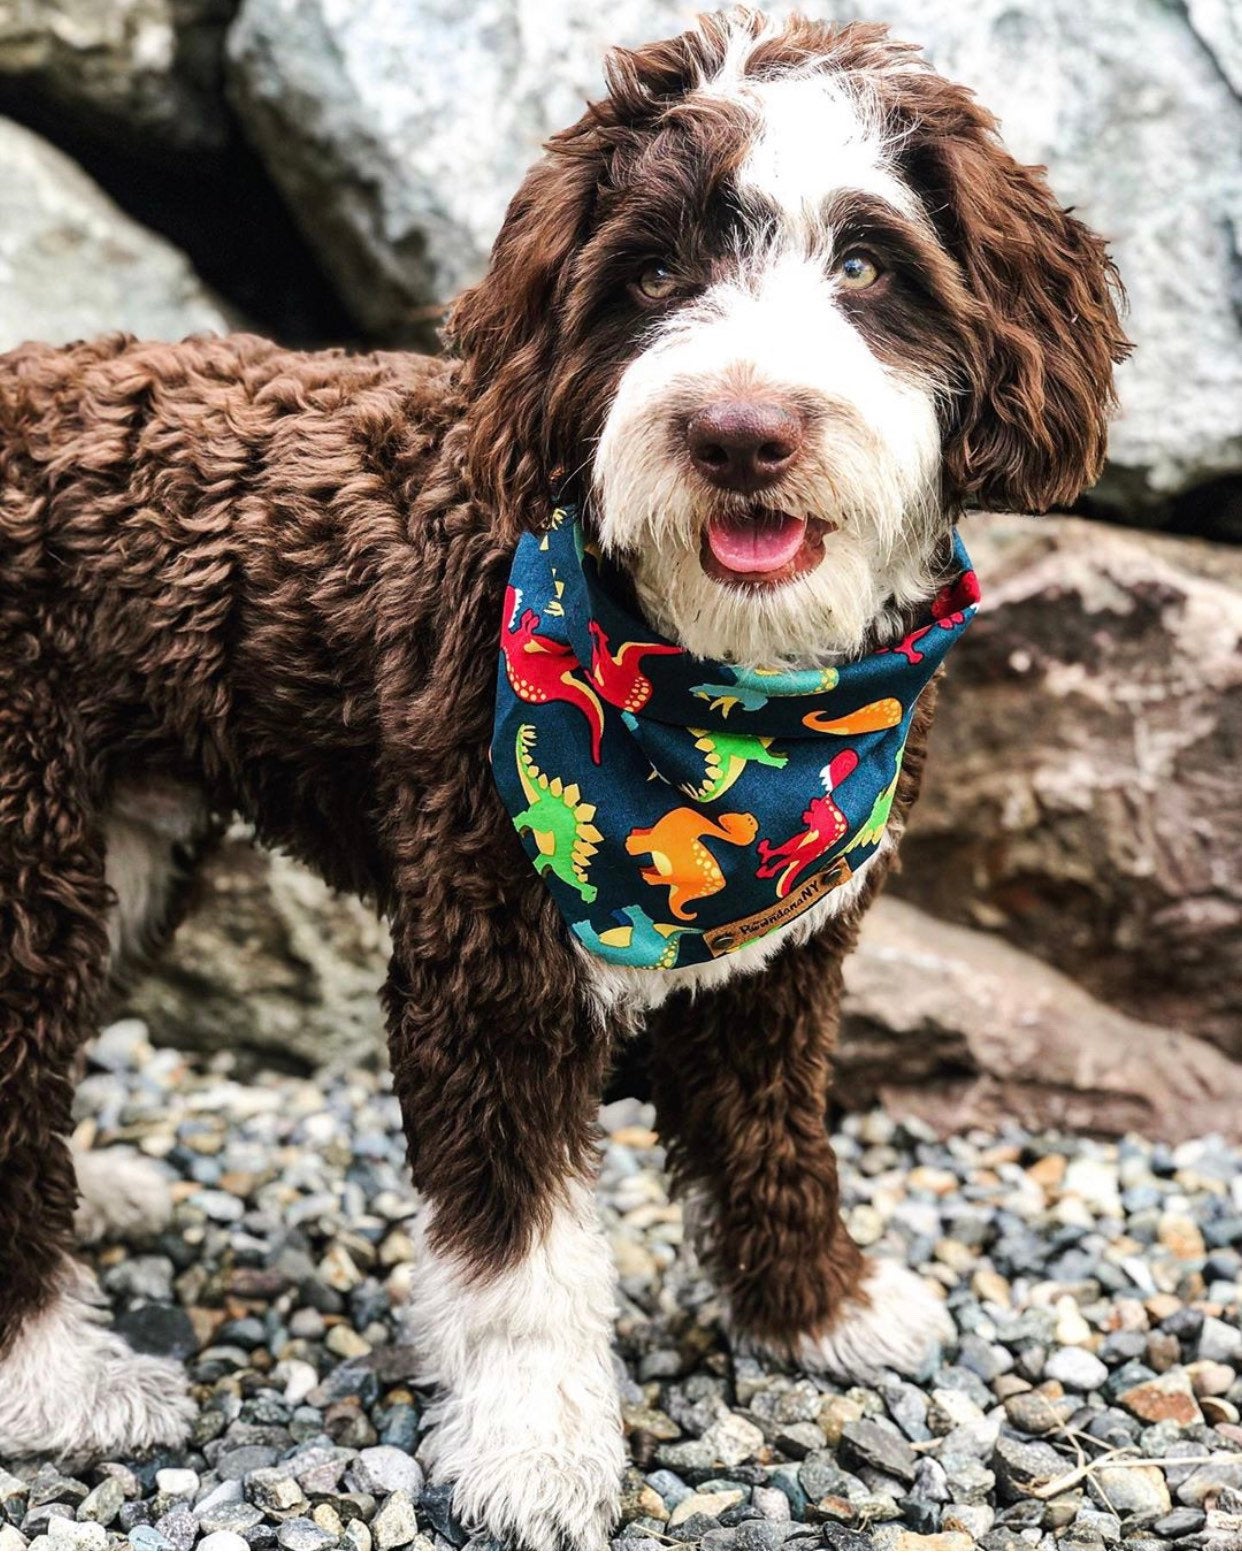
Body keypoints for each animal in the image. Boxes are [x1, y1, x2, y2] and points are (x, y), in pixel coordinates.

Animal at [0, 9, 1126, 1544]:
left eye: (865, 263)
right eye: (650, 273)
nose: (740, 434)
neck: (726, 699)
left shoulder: (787, 954)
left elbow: (775, 1133)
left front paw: (817, 1309)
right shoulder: (491, 961)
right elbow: (523, 1257)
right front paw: (533, 1450)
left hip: (120, 844)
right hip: (30, 851)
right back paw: (61, 1377)